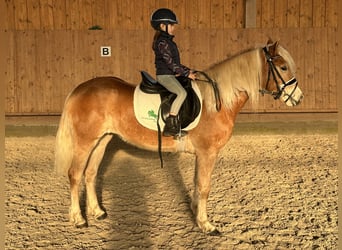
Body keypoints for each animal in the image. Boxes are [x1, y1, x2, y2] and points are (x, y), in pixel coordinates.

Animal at [54, 40, 304, 235]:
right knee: (75, 174)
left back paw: (97, 212)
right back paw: (78, 219)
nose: (298, 98)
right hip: (85, 142)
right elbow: (204, 186)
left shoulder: (202, 155)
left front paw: (195, 212)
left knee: (90, 173)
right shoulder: (207, 153)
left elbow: (196, 183)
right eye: (282, 67)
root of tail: (81, 88)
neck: (216, 101)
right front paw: (206, 224)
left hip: (101, 140)